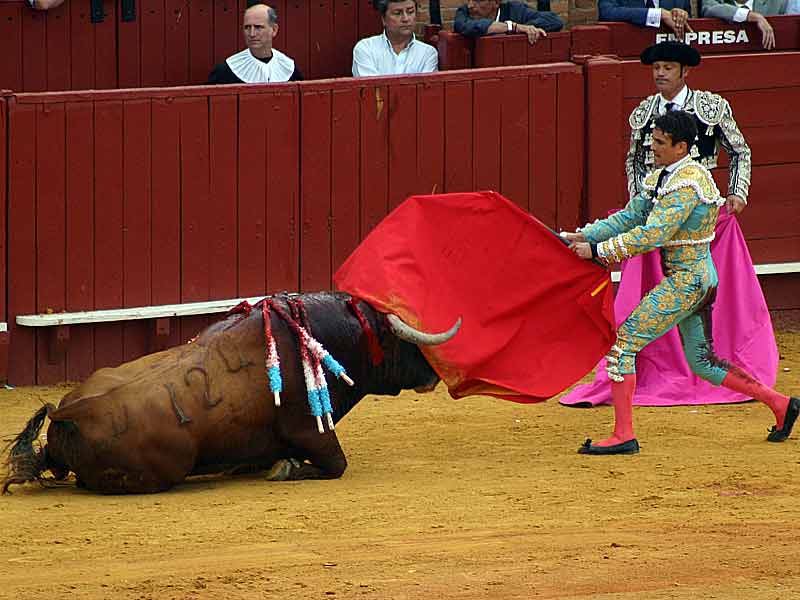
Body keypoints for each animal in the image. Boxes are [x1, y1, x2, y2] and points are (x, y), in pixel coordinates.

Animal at [1, 292, 456, 494]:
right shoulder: (312, 432)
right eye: (402, 344)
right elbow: (336, 464)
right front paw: (285, 468)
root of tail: (71, 412)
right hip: (162, 471)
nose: (434, 376)